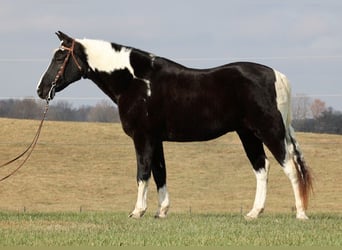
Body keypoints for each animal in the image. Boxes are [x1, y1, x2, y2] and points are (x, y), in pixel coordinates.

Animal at [37, 30, 312, 219]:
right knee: (262, 168)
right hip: (248, 134)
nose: (41, 90)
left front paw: (137, 211)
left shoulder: (143, 137)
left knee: (290, 167)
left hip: (269, 131)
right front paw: (161, 211)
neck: (136, 81)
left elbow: (143, 172)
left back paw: (301, 214)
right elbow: (160, 172)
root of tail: (277, 76)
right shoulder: (156, 139)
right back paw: (254, 213)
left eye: (60, 57)